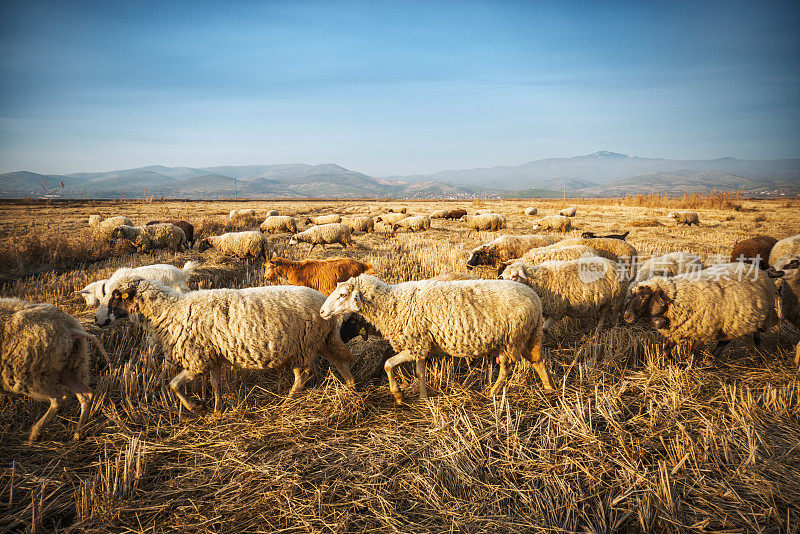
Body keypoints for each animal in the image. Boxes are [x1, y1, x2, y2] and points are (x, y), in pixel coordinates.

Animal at [1, 298, 111, 444]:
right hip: (67, 368)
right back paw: (77, 434)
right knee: (86, 395)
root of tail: (69, 329)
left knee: (59, 398)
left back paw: (35, 434)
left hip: (33, 374)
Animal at [95, 276, 354, 410]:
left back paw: (288, 400)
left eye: (116, 295)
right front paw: (218, 409)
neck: (169, 310)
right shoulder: (213, 356)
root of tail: (323, 303)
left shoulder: (197, 360)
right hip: (320, 341)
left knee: (303, 376)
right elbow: (215, 384)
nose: (96, 320)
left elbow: (173, 385)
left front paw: (193, 408)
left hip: (304, 346)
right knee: (339, 361)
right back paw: (351, 387)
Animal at [318, 274, 552, 404]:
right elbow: (420, 372)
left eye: (342, 295)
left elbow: (388, 364)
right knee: (537, 361)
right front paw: (423, 397)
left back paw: (492, 392)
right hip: (527, 337)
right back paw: (549, 388)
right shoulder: (421, 345)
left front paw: (398, 395)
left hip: (512, 339)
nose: (321, 312)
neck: (392, 303)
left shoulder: (415, 345)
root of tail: (535, 299)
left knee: (506, 369)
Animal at [620, 264, 780, 368]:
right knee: (726, 340)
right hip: (731, 323)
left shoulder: (702, 332)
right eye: (631, 295)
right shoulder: (678, 331)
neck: (678, 297)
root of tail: (762, 271)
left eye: (645, 296)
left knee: (756, 338)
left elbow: (691, 357)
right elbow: (666, 350)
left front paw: (685, 368)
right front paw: (674, 362)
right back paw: (712, 358)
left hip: (758, 318)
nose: (627, 316)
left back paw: (759, 357)